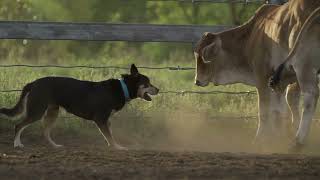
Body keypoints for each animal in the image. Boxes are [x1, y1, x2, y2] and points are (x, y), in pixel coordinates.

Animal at [0, 64, 159, 150]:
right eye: (147, 83)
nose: (158, 89)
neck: (122, 88)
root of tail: (33, 83)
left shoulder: (107, 121)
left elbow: (110, 135)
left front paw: (112, 146)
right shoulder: (101, 119)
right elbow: (109, 136)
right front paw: (118, 147)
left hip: (52, 113)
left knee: (45, 132)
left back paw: (55, 146)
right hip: (37, 111)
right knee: (18, 125)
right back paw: (17, 144)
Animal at [194, 0, 318, 151]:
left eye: (201, 57)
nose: (197, 81)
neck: (252, 36)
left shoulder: (263, 77)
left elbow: (264, 111)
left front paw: (260, 139)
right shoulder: (279, 80)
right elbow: (279, 109)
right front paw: (280, 136)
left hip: (303, 65)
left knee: (310, 96)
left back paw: (298, 142)